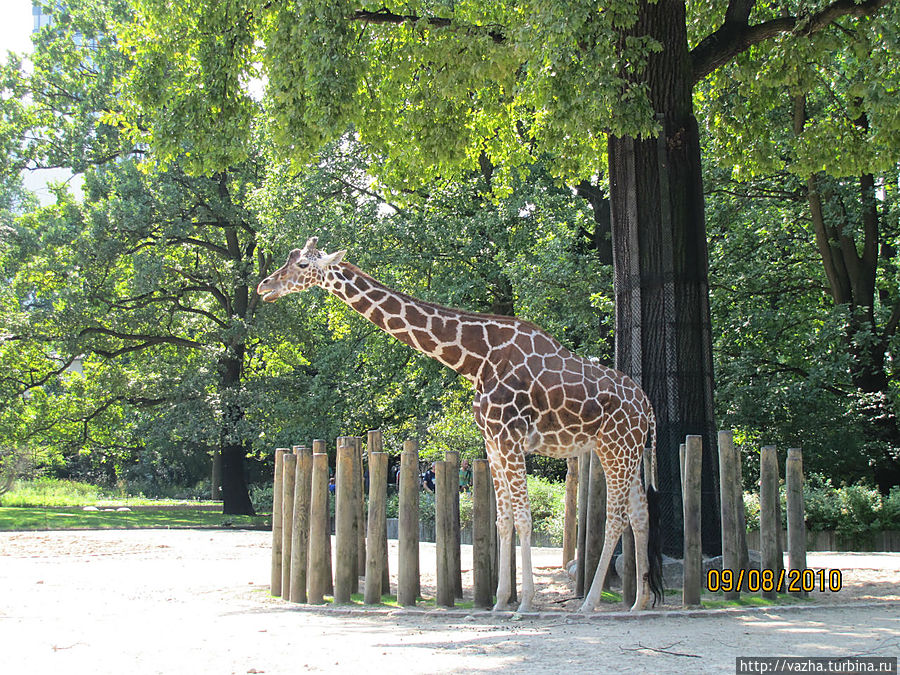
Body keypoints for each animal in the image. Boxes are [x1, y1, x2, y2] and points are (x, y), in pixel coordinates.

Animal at [256, 238, 664, 612]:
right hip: (626, 452)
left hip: (615, 448)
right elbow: (503, 520)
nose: (265, 285)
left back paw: (590, 602)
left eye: (303, 264)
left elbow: (524, 517)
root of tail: (648, 408)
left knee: (617, 517)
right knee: (640, 512)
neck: (476, 360)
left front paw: (525, 603)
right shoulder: (493, 441)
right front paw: (500, 603)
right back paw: (640, 602)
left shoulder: (510, 437)